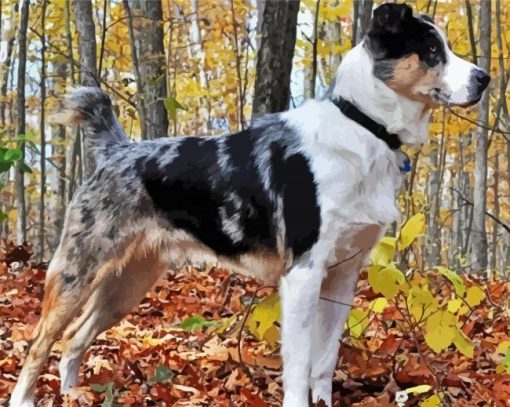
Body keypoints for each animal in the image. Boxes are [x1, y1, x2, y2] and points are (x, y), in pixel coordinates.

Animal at [9, 3, 488, 407]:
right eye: (431, 51)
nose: (484, 78)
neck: (363, 126)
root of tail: (115, 151)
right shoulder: (303, 273)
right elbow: (298, 366)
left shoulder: (342, 276)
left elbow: (324, 362)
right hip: (77, 272)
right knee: (39, 344)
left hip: (129, 283)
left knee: (73, 340)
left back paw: (72, 395)